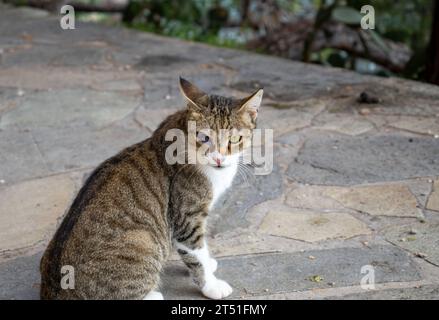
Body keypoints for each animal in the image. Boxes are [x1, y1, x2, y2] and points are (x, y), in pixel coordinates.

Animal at [38, 77, 264, 300]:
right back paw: (153, 295)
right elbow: (196, 253)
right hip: (142, 240)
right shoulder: (187, 216)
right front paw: (211, 285)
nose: (219, 158)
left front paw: (209, 263)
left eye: (235, 139)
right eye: (204, 138)